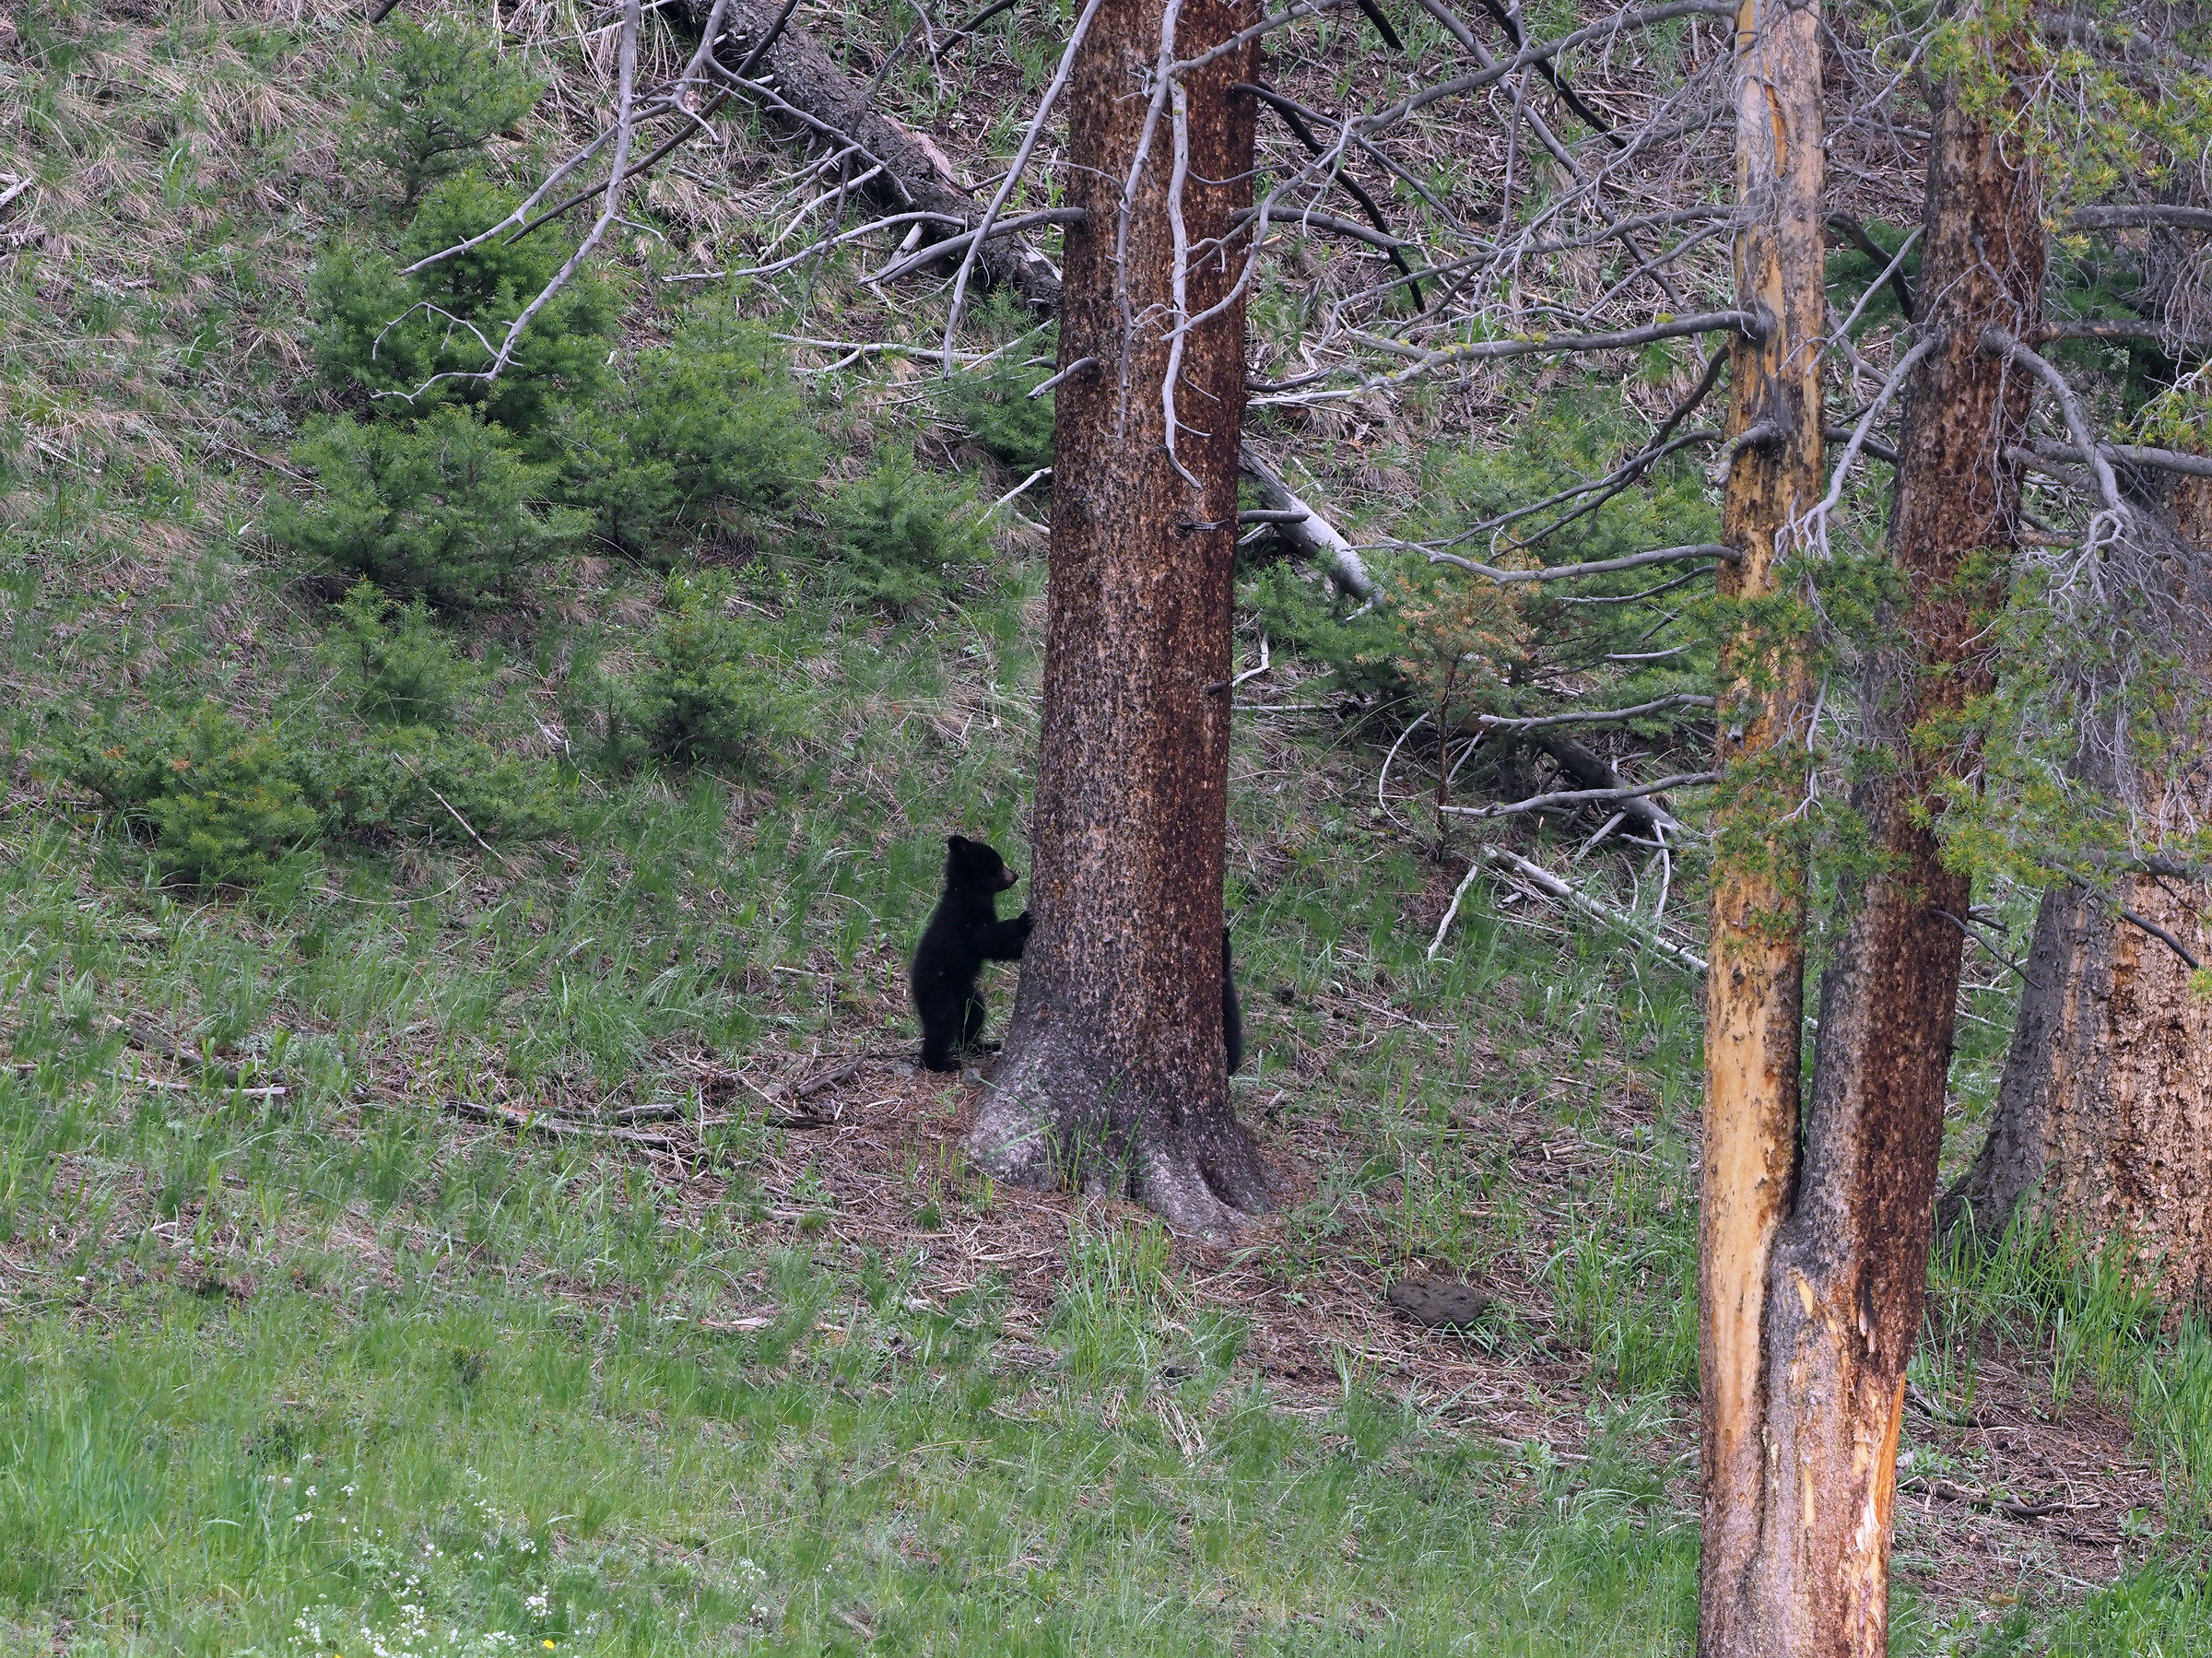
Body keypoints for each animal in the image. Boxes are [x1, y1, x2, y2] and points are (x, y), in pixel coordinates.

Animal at [910, 834, 1032, 1072]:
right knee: (943, 1022)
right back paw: (939, 1063)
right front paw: (1024, 921)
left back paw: (981, 1046)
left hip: (966, 993)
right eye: (998, 862)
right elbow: (985, 937)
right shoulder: (966, 915)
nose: (1015, 875)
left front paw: (1020, 948)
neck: (968, 888)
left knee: (974, 1014)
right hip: (937, 990)